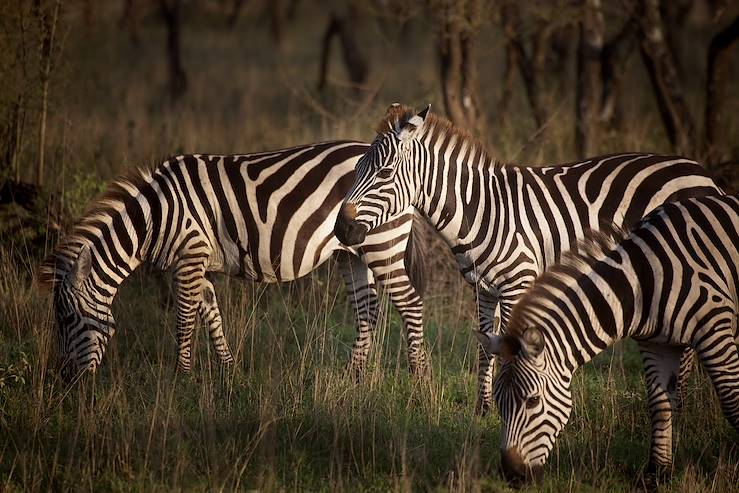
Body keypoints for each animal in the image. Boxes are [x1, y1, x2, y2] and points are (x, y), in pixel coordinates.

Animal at [40, 140, 430, 378]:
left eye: (68, 319)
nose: (66, 378)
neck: (156, 217)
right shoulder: (198, 262)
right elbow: (211, 313)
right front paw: (227, 369)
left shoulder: (190, 254)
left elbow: (185, 319)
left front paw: (181, 377)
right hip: (352, 253)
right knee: (368, 310)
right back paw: (354, 376)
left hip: (382, 244)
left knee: (409, 304)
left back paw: (419, 377)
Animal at [336, 105, 724, 414]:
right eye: (357, 169)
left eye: (384, 174)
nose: (342, 228)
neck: (483, 210)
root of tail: (703, 173)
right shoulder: (484, 289)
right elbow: (486, 349)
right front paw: (483, 409)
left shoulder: (517, 284)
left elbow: (511, 348)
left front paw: (507, 408)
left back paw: (681, 403)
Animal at [476, 193, 739, 484]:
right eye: (499, 404)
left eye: (532, 401)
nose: (511, 475)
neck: (640, 284)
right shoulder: (656, 346)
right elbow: (660, 405)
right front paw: (656, 473)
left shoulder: (714, 329)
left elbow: (731, 401)